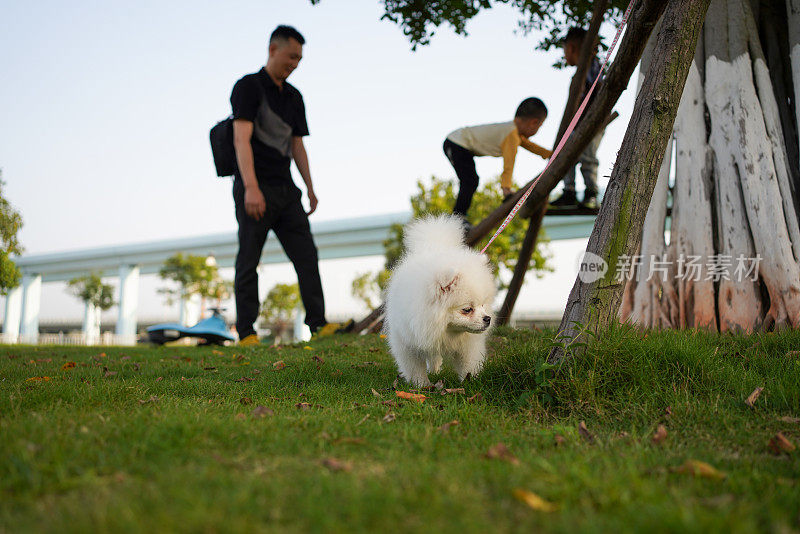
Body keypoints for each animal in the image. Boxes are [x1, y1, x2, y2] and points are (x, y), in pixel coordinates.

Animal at [384, 216, 496, 388]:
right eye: (467, 309)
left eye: (483, 305)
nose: (487, 319)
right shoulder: (408, 340)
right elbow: (415, 367)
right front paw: (422, 385)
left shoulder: (467, 344)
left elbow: (468, 363)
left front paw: (471, 382)